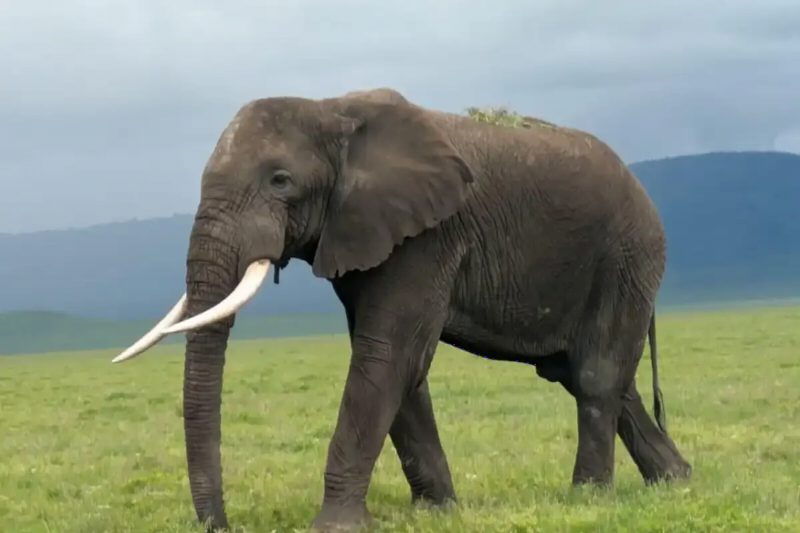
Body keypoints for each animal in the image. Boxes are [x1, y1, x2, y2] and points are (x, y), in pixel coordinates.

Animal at [114, 87, 692, 531]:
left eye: (280, 181)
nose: (222, 524)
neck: (331, 110)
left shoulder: (428, 235)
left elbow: (386, 355)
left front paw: (336, 527)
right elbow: (398, 366)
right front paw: (438, 511)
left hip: (627, 254)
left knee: (594, 376)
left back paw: (589, 497)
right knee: (594, 377)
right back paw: (676, 482)